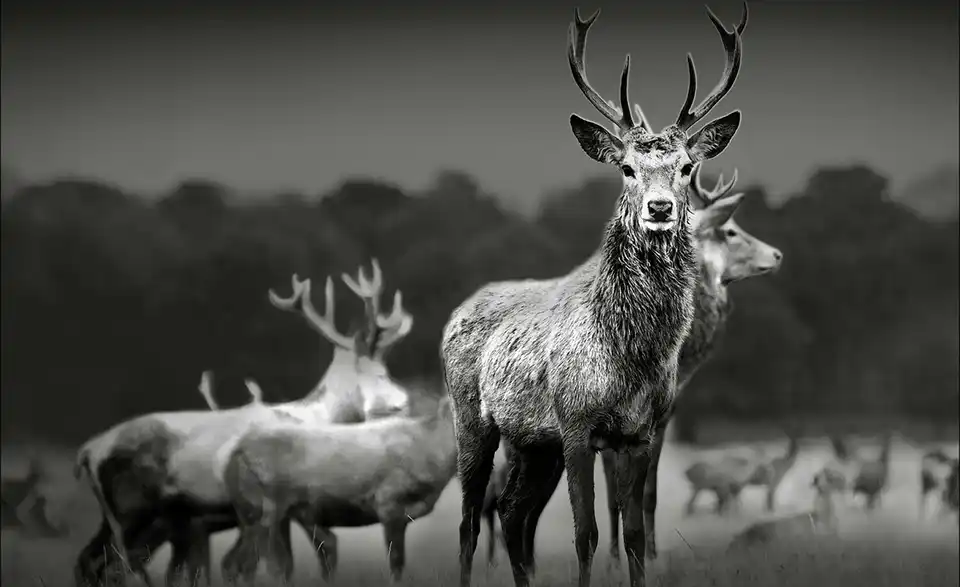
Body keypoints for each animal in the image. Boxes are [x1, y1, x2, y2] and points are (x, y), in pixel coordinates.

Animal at [73, 260, 413, 587]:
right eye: (380, 373)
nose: (405, 402)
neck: (314, 418)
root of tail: (88, 451)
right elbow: (294, 560)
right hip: (133, 511)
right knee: (116, 566)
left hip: (121, 517)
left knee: (90, 561)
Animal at [220, 395, 458, 584]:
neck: (430, 448)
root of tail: (235, 452)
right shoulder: (388, 504)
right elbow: (396, 562)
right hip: (264, 511)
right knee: (255, 564)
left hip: (251, 515)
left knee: (236, 563)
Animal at [440, 4, 748, 586]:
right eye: (626, 167)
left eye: (686, 167)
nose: (658, 207)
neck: (630, 354)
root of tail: (457, 311)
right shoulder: (577, 423)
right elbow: (587, 534)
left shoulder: (639, 433)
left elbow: (633, 534)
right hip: (472, 419)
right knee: (469, 520)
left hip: (533, 444)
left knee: (511, 511)